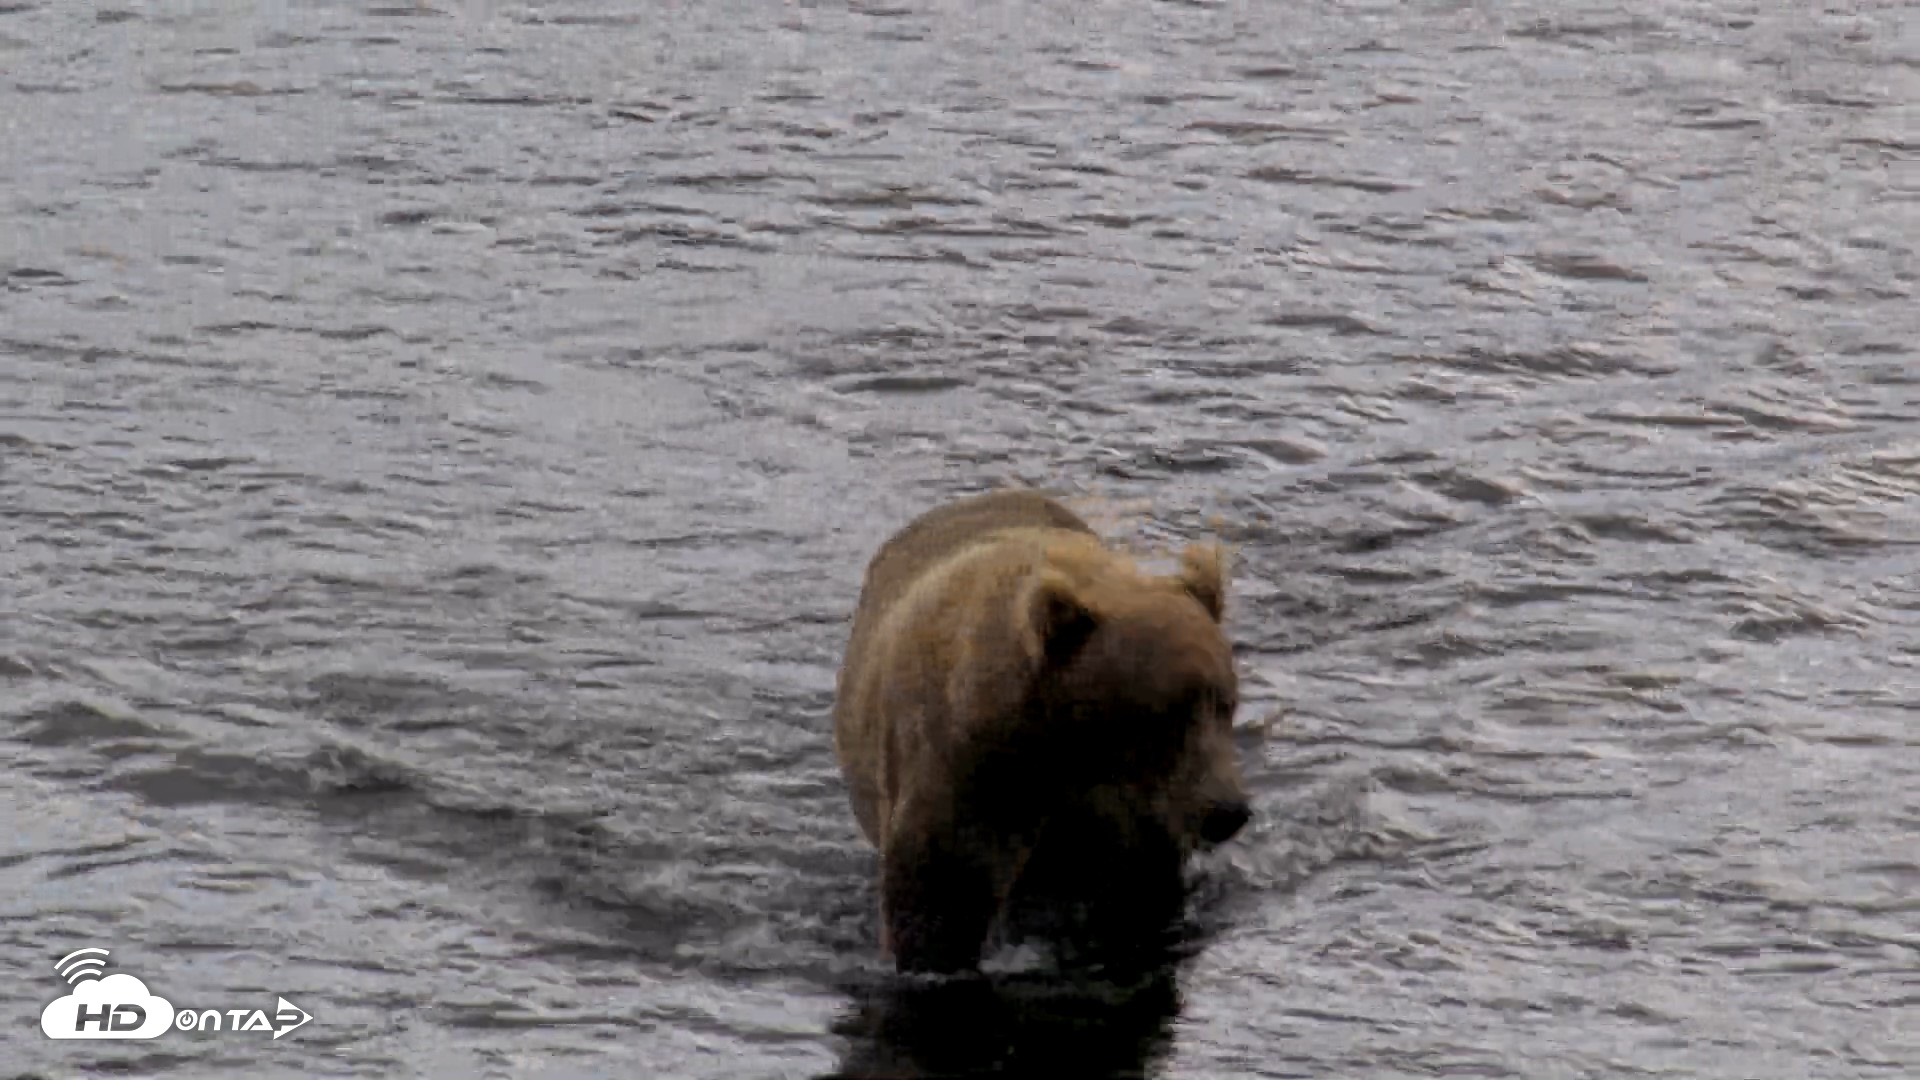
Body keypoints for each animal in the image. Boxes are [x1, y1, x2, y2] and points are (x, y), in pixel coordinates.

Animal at [832, 488, 1250, 974]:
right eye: (1168, 711)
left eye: (1225, 704)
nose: (1227, 810)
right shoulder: (969, 775)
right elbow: (939, 900)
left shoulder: (1125, 816)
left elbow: (1136, 895)